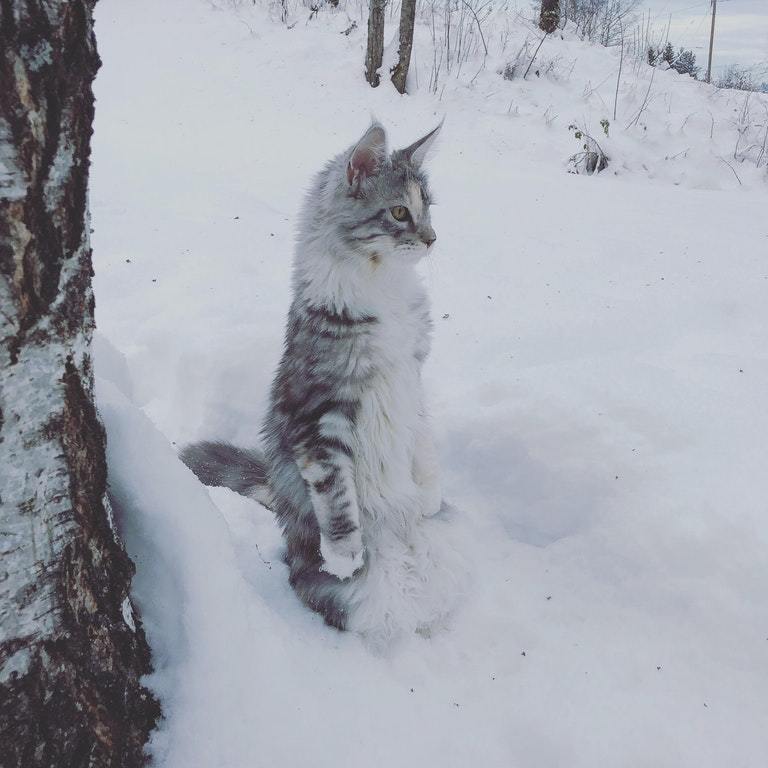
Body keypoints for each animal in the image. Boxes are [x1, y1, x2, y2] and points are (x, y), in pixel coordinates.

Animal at [183, 121, 464, 648]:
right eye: (400, 212)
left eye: (428, 208)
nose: (433, 239)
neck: (385, 288)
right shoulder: (318, 417)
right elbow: (335, 495)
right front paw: (344, 554)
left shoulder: (413, 381)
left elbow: (424, 445)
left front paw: (431, 493)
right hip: (355, 596)